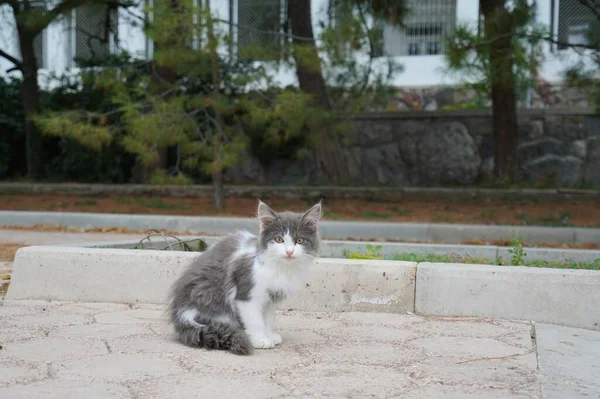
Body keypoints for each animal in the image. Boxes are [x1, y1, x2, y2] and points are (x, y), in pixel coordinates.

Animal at [164, 202, 324, 354]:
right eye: (279, 239)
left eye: (300, 240)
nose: (289, 252)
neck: (280, 268)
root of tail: (181, 315)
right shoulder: (247, 295)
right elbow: (255, 320)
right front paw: (261, 340)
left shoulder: (270, 299)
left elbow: (267, 320)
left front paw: (269, 336)